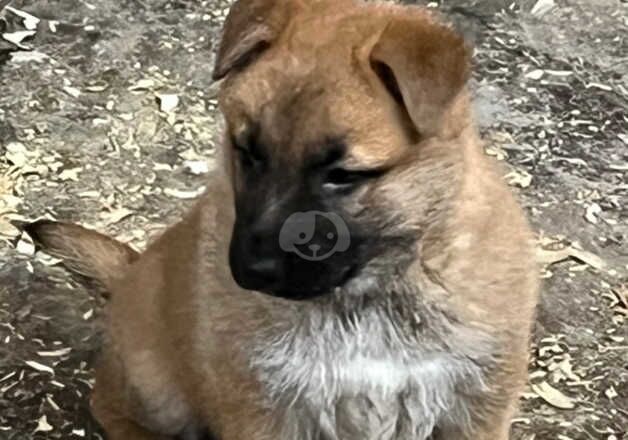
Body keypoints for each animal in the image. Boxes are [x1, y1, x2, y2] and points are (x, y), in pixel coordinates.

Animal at [27, 0, 536, 440]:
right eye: (248, 152)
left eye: (344, 175)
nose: (249, 272)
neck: (364, 300)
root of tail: (130, 271)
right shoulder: (262, 408)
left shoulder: (476, 409)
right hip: (157, 389)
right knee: (107, 404)